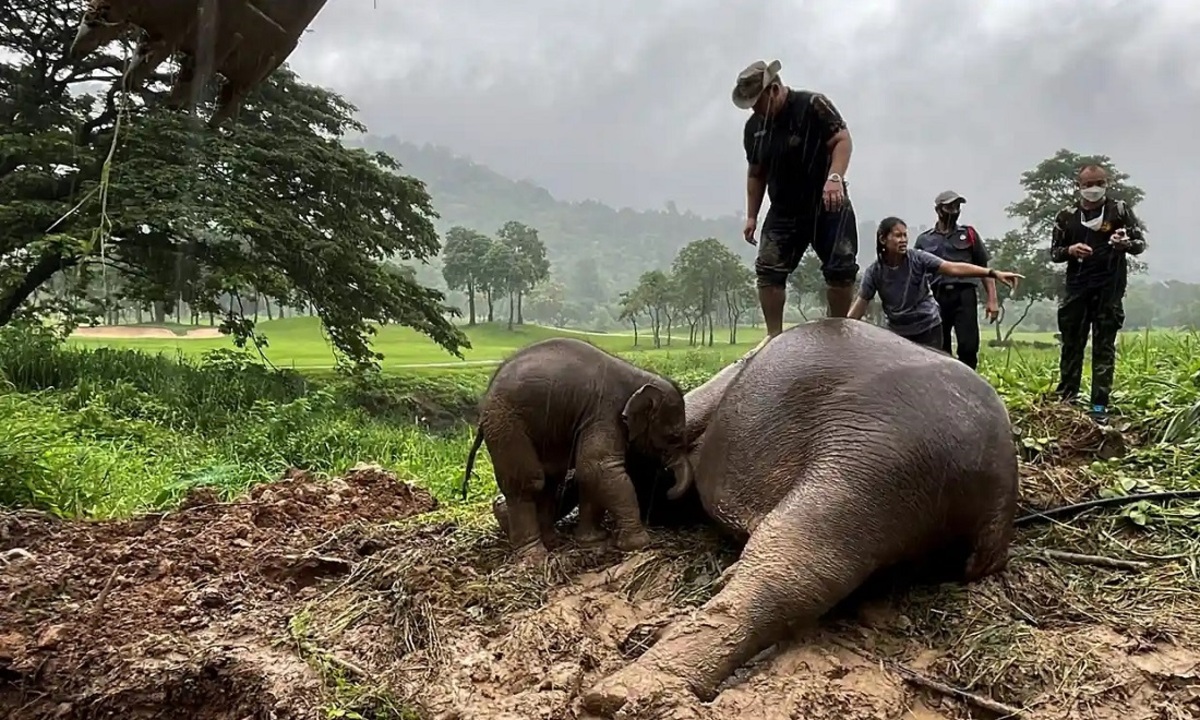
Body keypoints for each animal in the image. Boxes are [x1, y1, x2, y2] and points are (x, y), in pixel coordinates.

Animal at [465, 338, 696, 561]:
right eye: (673, 436)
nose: (669, 491)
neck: (639, 376)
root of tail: (483, 404)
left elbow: (588, 474)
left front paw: (593, 540)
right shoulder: (605, 412)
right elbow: (597, 467)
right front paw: (638, 544)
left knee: (550, 480)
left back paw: (553, 542)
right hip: (506, 423)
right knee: (529, 482)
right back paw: (535, 556)